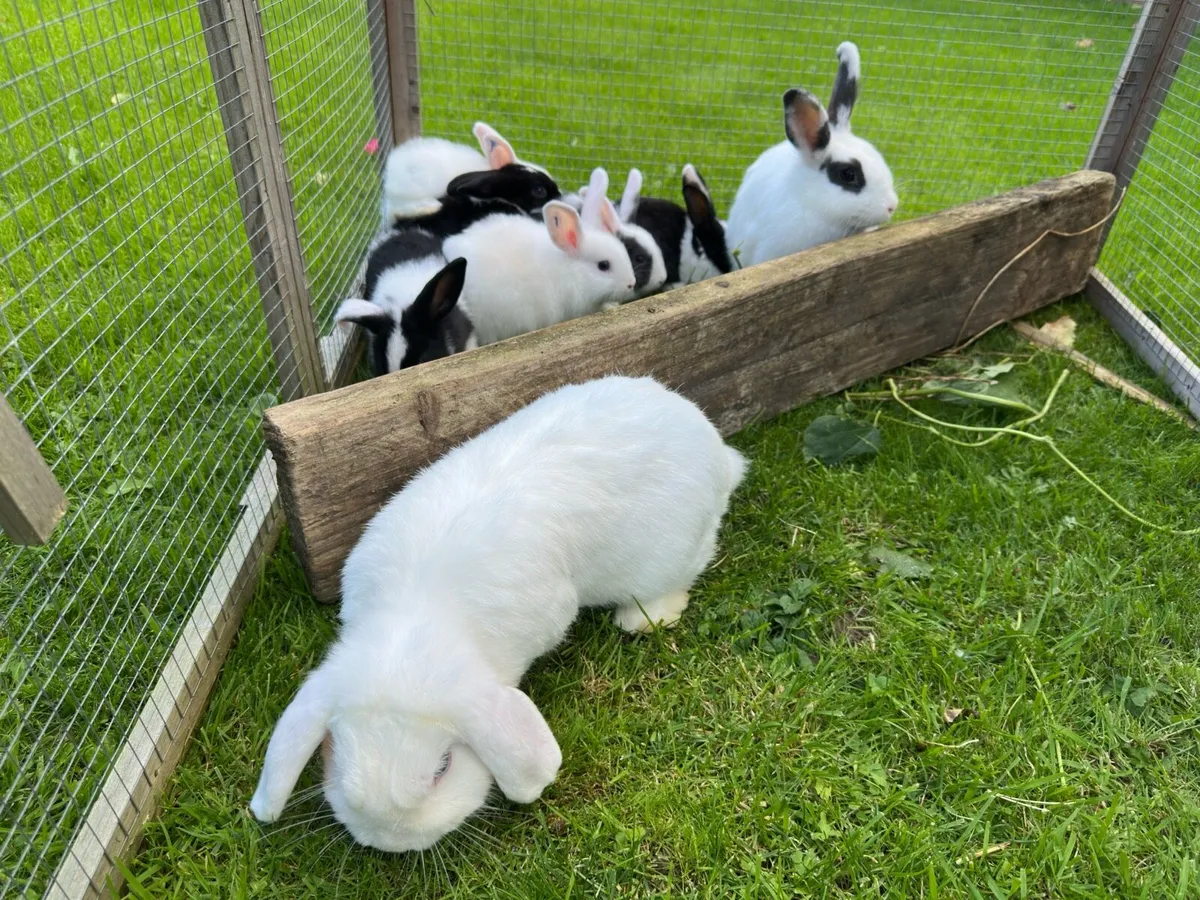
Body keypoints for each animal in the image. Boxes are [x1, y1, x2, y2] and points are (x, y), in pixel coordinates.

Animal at [248, 374, 747, 852]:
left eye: (443, 767)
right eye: (335, 752)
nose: (388, 843)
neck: (410, 631)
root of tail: (712, 445)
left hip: (671, 554)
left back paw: (643, 618)